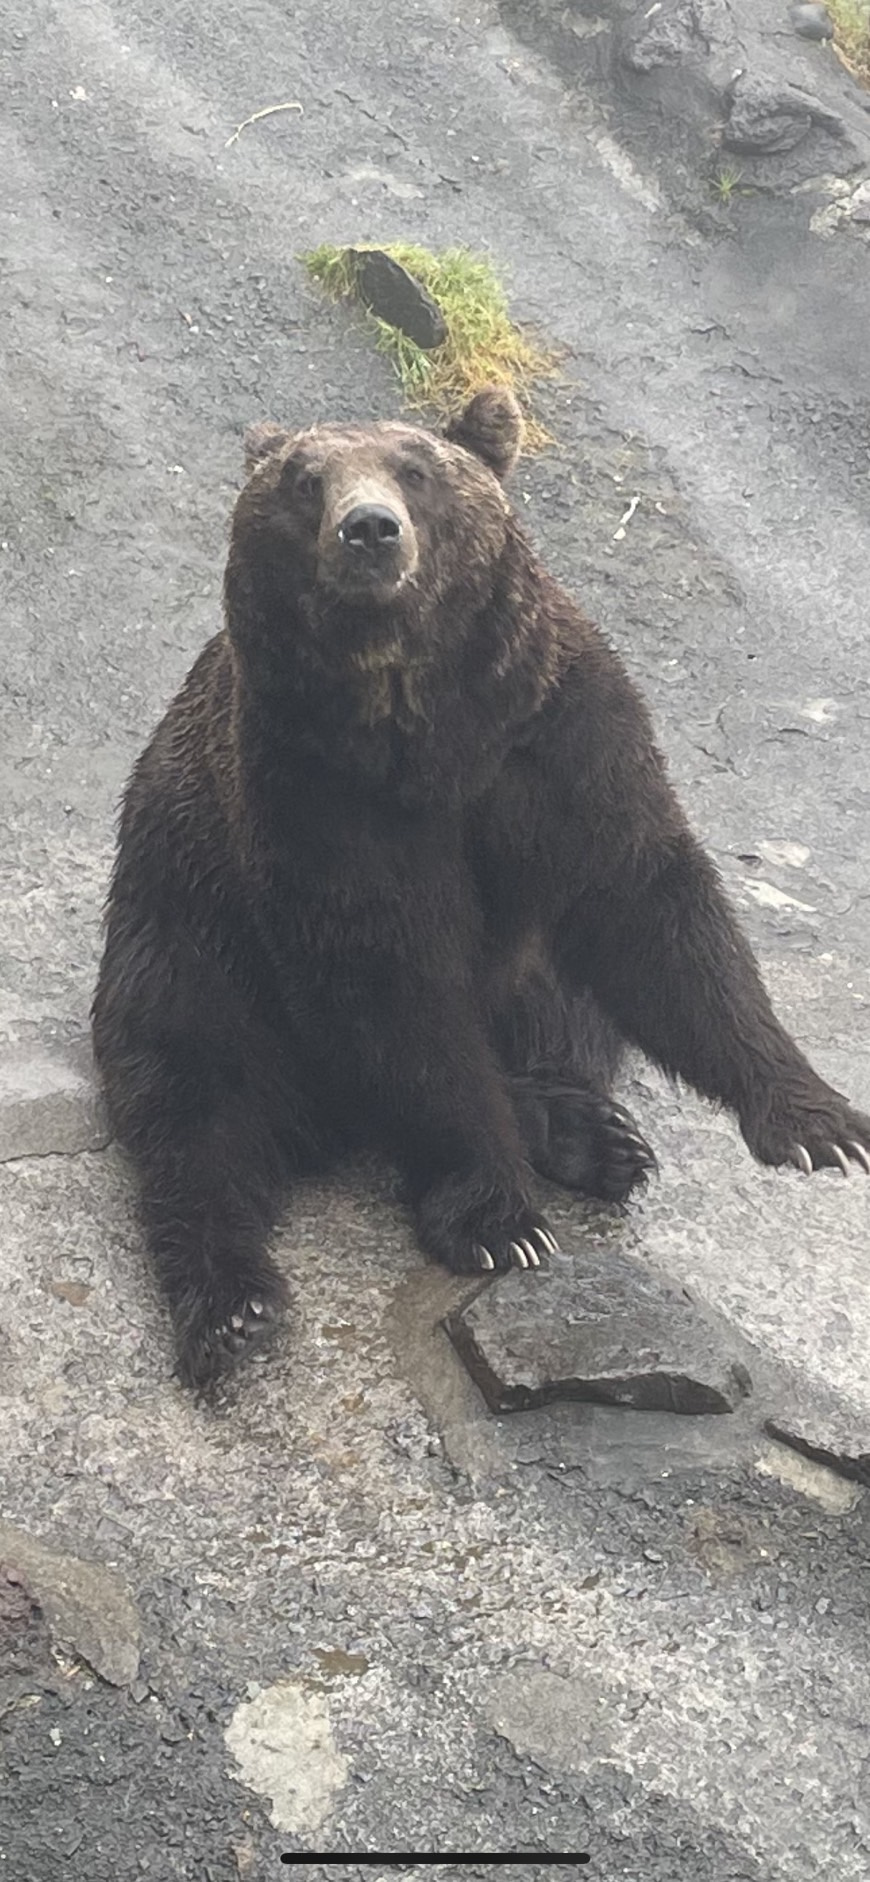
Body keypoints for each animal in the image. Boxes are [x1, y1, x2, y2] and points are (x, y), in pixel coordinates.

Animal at [92, 386, 870, 1387]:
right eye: (306, 481)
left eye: (416, 469)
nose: (370, 529)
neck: (426, 732)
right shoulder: (315, 798)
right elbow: (395, 994)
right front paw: (501, 1221)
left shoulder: (557, 742)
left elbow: (653, 909)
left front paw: (818, 1123)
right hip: (186, 939)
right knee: (197, 1106)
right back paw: (232, 1306)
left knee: (566, 1018)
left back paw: (592, 1137)